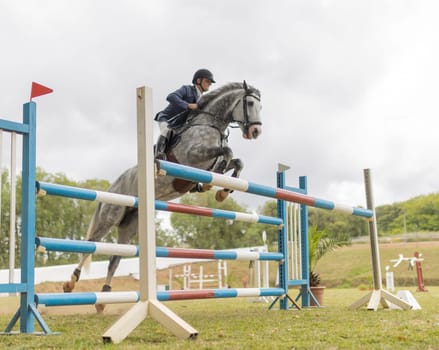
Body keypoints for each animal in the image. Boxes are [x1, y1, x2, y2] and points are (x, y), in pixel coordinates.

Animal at [61, 81, 262, 312]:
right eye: (249, 103)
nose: (256, 131)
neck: (211, 124)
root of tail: (111, 187)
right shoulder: (194, 156)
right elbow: (227, 153)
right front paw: (214, 184)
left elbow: (236, 161)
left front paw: (222, 191)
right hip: (110, 217)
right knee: (90, 245)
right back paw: (70, 283)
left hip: (130, 225)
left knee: (115, 257)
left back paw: (103, 298)